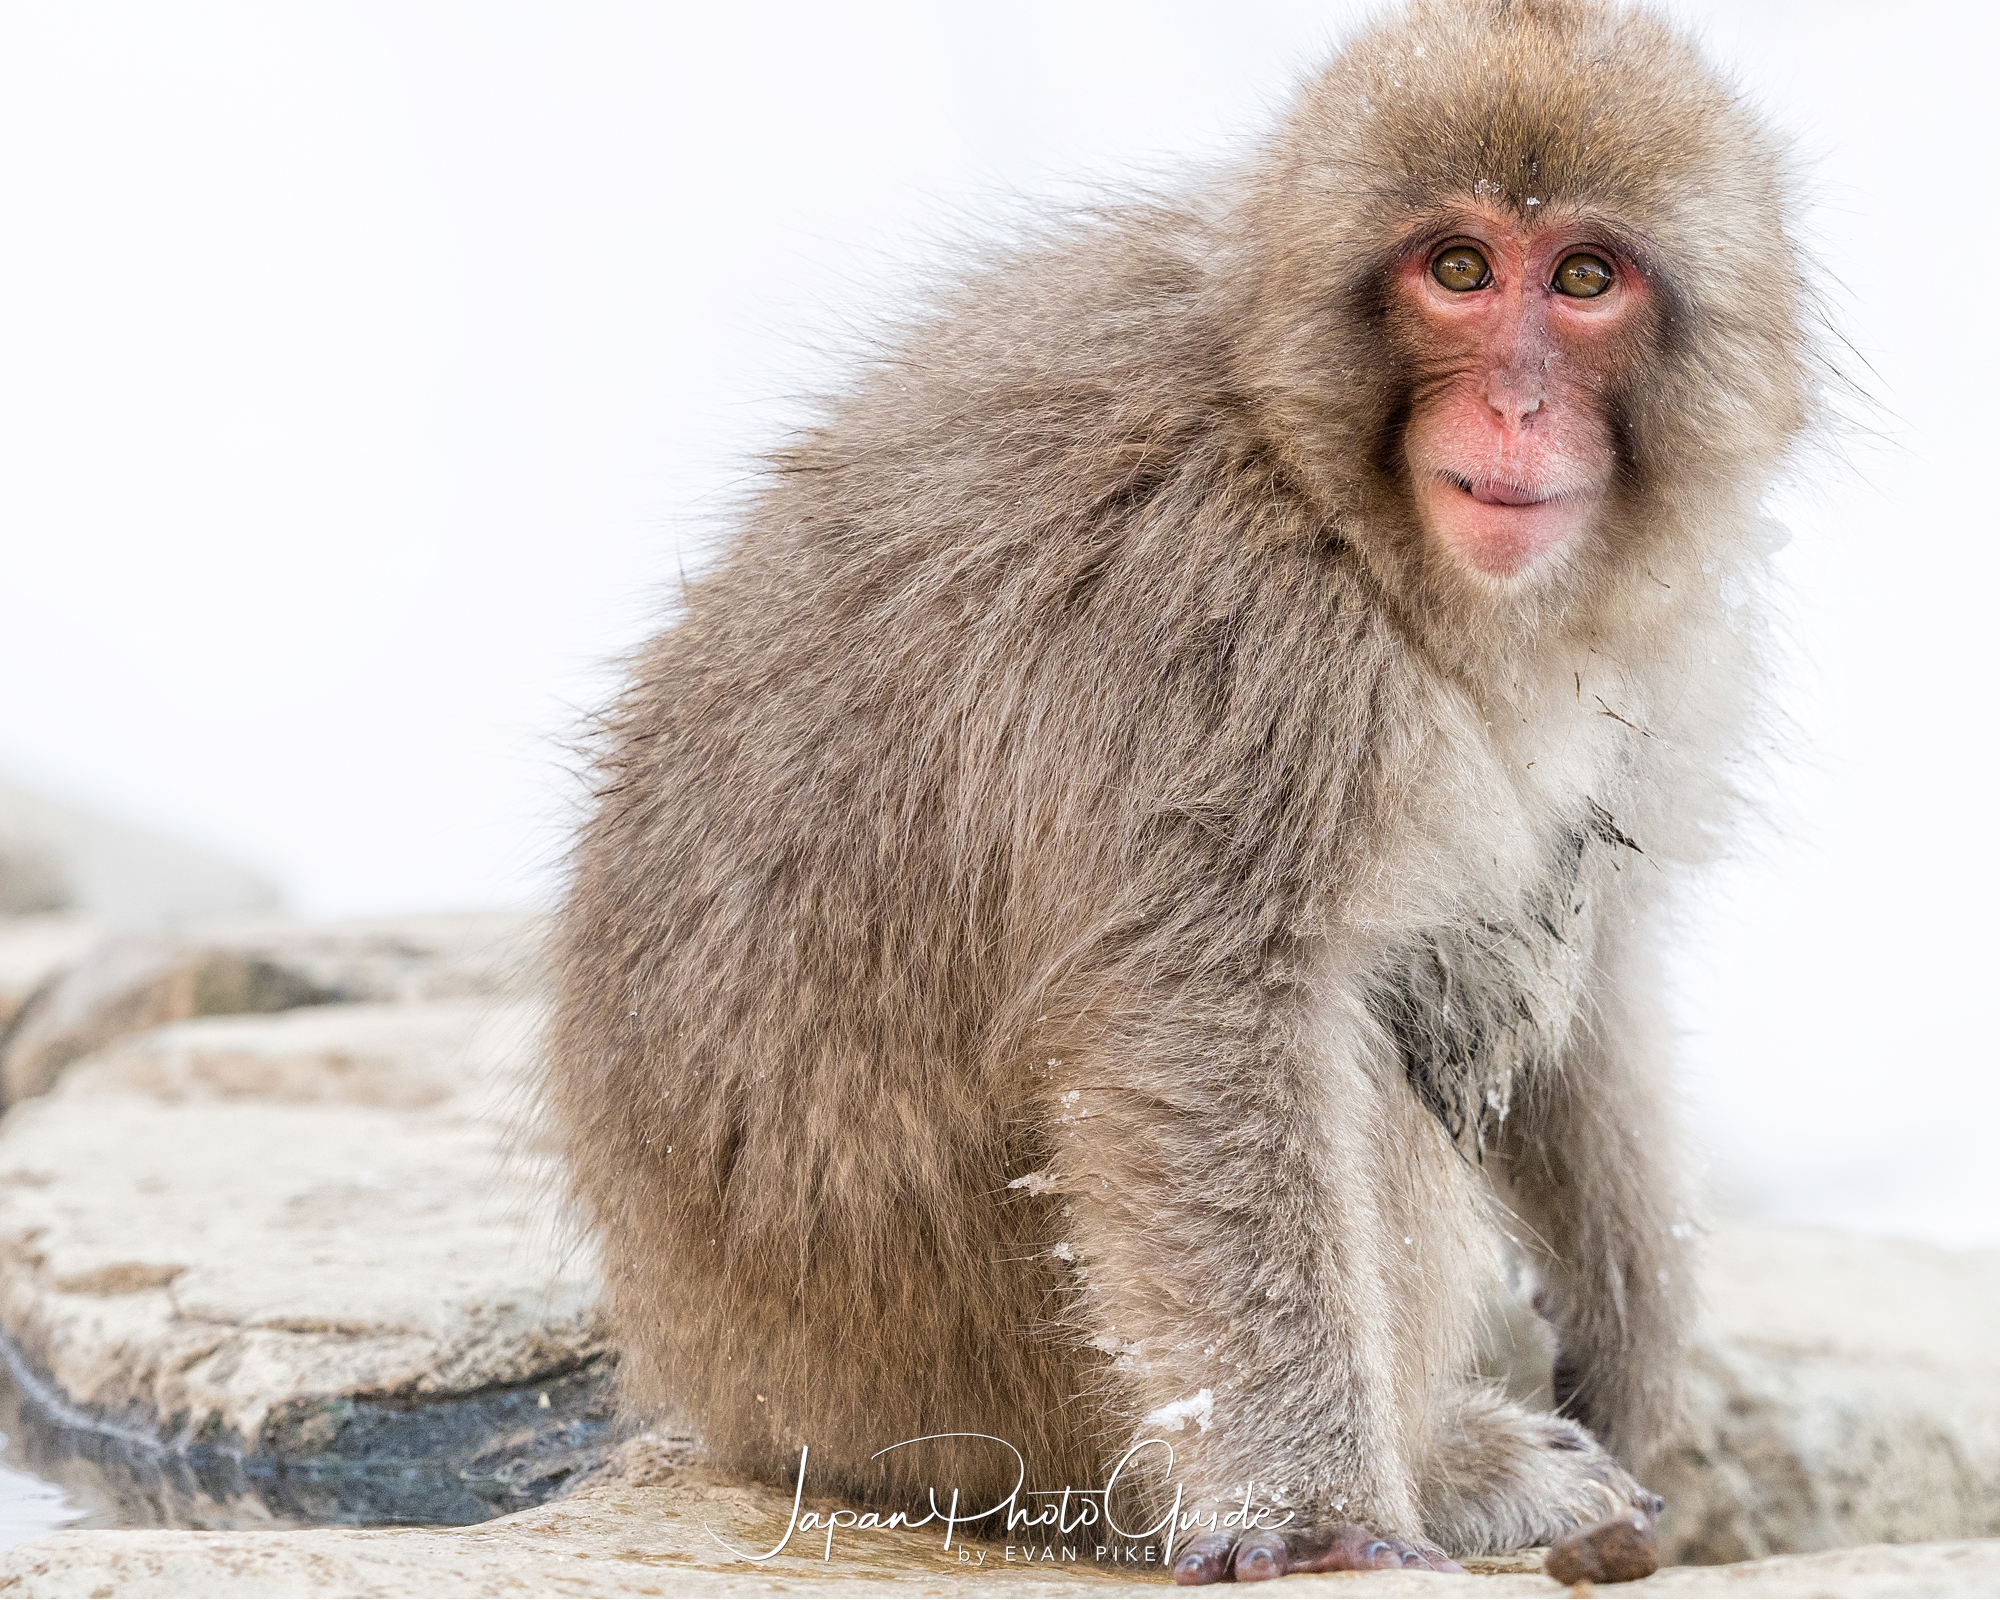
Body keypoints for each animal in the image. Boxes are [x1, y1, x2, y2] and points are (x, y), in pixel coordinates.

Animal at [544, 0, 1816, 1576]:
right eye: (1458, 269)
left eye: (1584, 278)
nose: (1520, 405)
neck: (1338, 502)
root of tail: (720, 1377)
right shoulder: (1217, 633)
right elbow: (1204, 1029)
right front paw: (1318, 1515)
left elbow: (1597, 946)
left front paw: (1637, 1332)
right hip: (972, 1371)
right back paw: (1438, 1465)